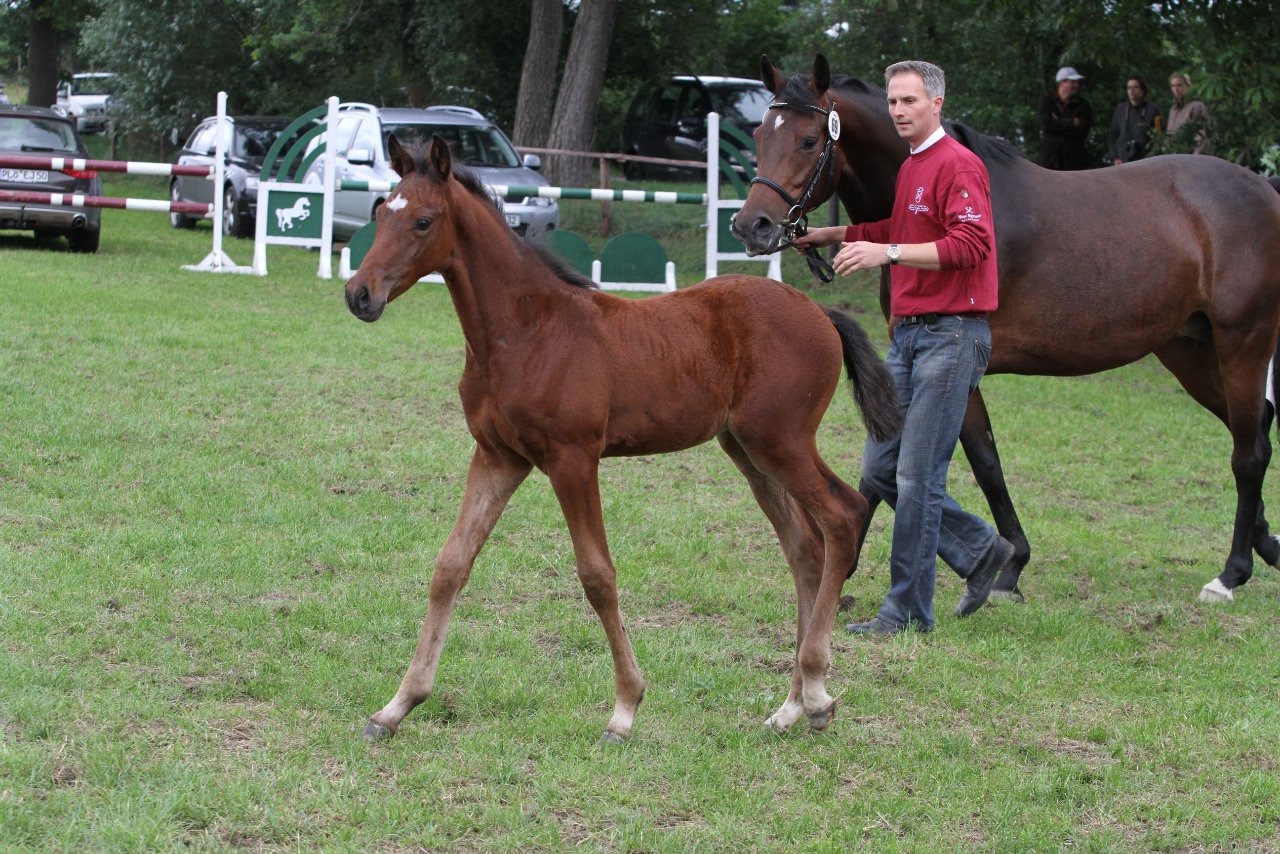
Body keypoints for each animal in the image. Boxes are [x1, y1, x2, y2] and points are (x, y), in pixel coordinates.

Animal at [340, 136, 901, 742]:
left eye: (423, 221)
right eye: (380, 211)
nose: (359, 294)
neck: (526, 332)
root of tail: (820, 310)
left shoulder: (573, 459)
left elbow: (597, 576)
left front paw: (625, 707)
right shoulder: (498, 457)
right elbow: (451, 566)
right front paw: (397, 705)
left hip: (781, 440)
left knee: (842, 516)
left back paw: (817, 689)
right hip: (748, 450)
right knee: (803, 547)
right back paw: (792, 705)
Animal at [737, 56, 1280, 604]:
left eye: (809, 140)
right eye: (759, 132)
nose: (751, 226)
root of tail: (1263, 189)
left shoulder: (962, 367)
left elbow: (984, 464)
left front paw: (1007, 566)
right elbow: (893, 469)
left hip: (1243, 343)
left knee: (1249, 452)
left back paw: (1230, 573)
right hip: (1190, 351)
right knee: (1257, 427)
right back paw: (1267, 545)